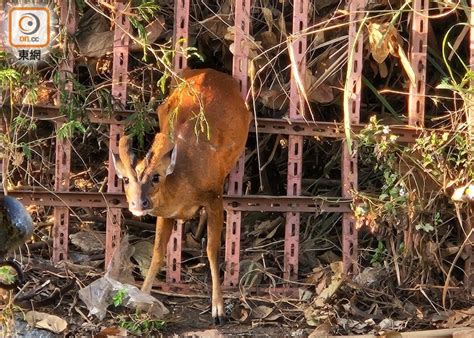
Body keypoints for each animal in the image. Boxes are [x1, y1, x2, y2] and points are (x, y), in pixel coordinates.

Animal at [112, 67, 252, 324]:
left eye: (156, 177)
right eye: (126, 179)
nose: (138, 203)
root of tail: (210, 71)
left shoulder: (215, 196)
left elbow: (213, 250)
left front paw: (218, 309)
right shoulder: (165, 213)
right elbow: (158, 252)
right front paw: (142, 300)